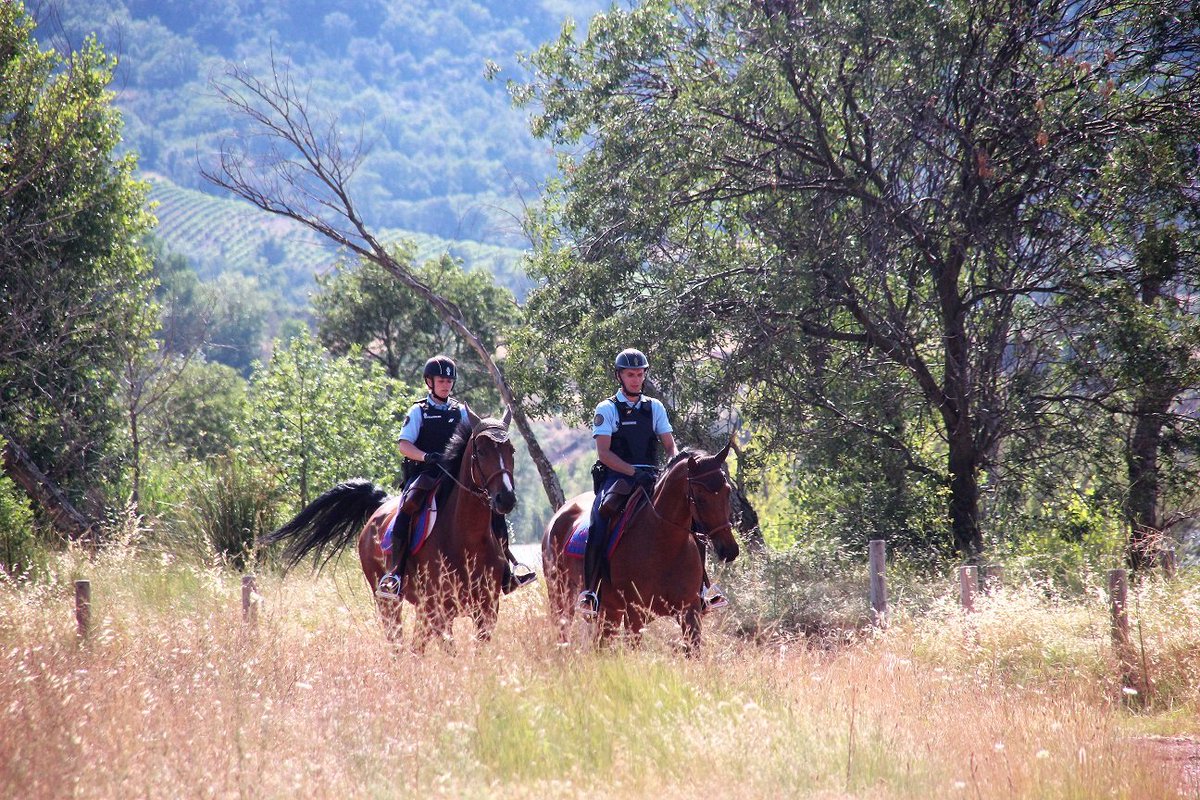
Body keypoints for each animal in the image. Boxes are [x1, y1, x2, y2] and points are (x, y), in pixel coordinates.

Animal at [260, 413, 517, 647]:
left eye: (511, 451)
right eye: (481, 451)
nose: (506, 499)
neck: (466, 539)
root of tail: (380, 506)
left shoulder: (486, 611)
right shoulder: (437, 610)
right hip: (388, 600)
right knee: (397, 642)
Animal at [541, 441, 739, 653]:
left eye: (728, 491)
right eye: (700, 498)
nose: (730, 550)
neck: (665, 546)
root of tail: (557, 516)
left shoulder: (689, 610)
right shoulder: (635, 613)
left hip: (609, 610)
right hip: (561, 595)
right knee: (563, 631)